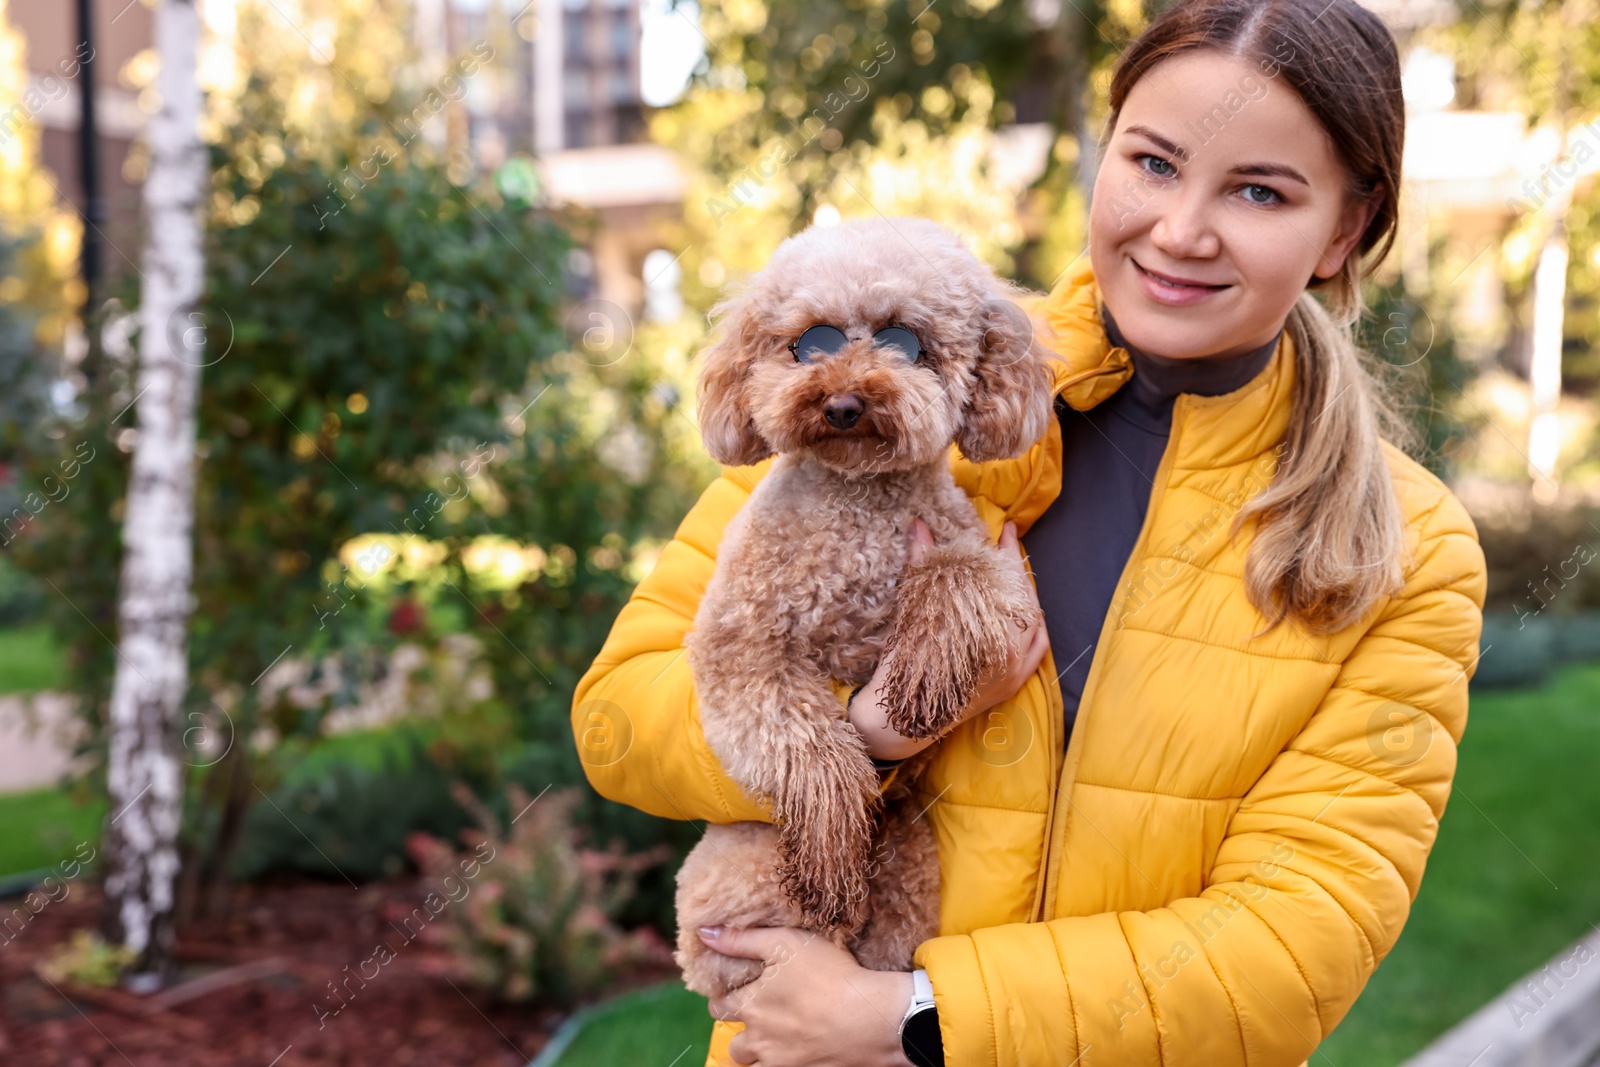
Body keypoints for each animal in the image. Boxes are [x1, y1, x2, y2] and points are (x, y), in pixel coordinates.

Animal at [672, 212, 1056, 998]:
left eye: (902, 339)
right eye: (809, 341)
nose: (843, 402)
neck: (857, 502)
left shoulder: (986, 563)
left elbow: (960, 579)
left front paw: (925, 666)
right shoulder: (738, 646)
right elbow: (812, 746)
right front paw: (829, 828)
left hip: (909, 859)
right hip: (749, 878)